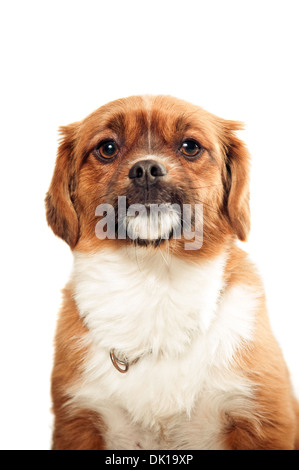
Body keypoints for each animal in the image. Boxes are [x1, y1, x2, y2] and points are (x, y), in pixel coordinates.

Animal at [45, 93, 298, 450]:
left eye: (190, 146)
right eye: (107, 147)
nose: (147, 169)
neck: (154, 281)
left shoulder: (260, 417)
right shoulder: (78, 420)